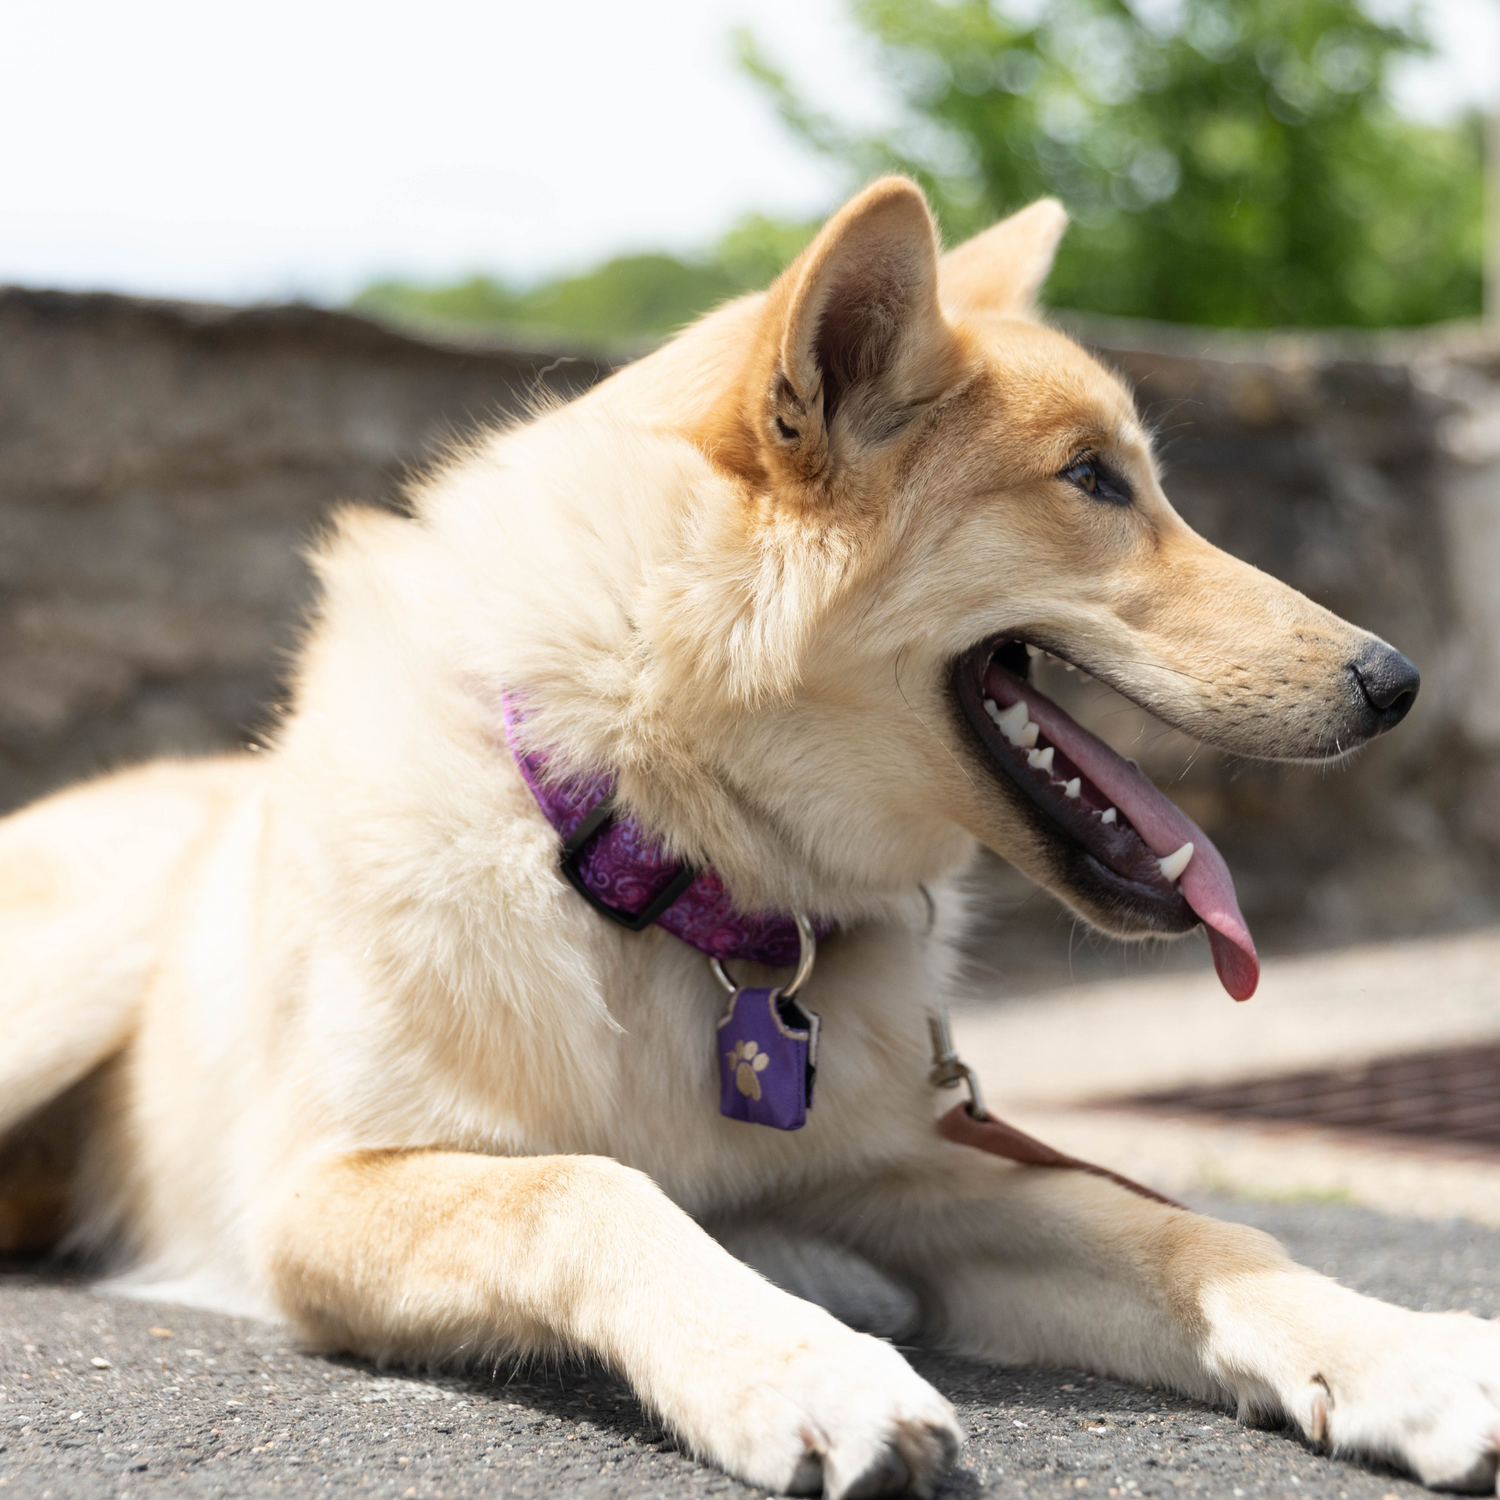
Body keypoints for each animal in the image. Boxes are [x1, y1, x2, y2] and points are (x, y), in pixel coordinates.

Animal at [5, 178, 1494, 1500]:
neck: (660, 871)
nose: (1397, 682)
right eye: (1090, 481)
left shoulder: (904, 1176)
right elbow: (585, 1190)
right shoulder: (319, 1195)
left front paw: (1405, 1357)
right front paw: (800, 1369)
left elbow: (1183, 1232)